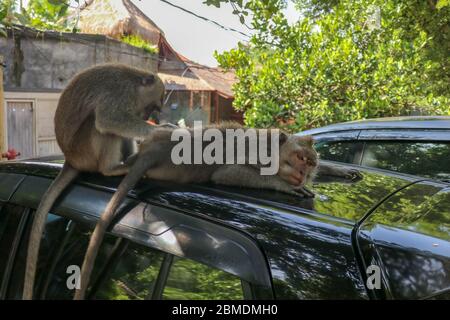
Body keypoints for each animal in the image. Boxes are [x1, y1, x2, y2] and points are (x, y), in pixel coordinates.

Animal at [74, 125, 360, 300]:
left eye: (310, 162)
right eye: (299, 158)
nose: (303, 174)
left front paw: (338, 170)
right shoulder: (256, 155)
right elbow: (229, 173)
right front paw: (287, 186)